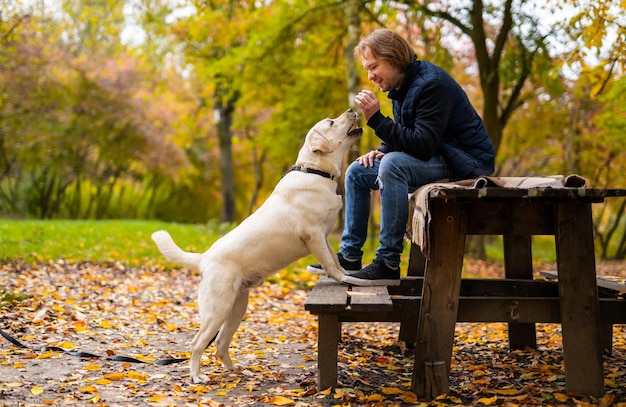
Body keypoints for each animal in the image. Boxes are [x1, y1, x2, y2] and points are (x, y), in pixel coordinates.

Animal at [151, 108, 360, 382]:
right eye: (332, 122)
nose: (352, 109)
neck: (314, 171)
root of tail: (204, 257)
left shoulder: (323, 236)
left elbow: (333, 259)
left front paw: (347, 273)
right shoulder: (314, 235)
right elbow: (329, 263)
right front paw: (343, 278)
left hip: (238, 306)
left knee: (220, 344)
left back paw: (236, 371)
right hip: (218, 308)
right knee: (197, 344)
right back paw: (197, 377)